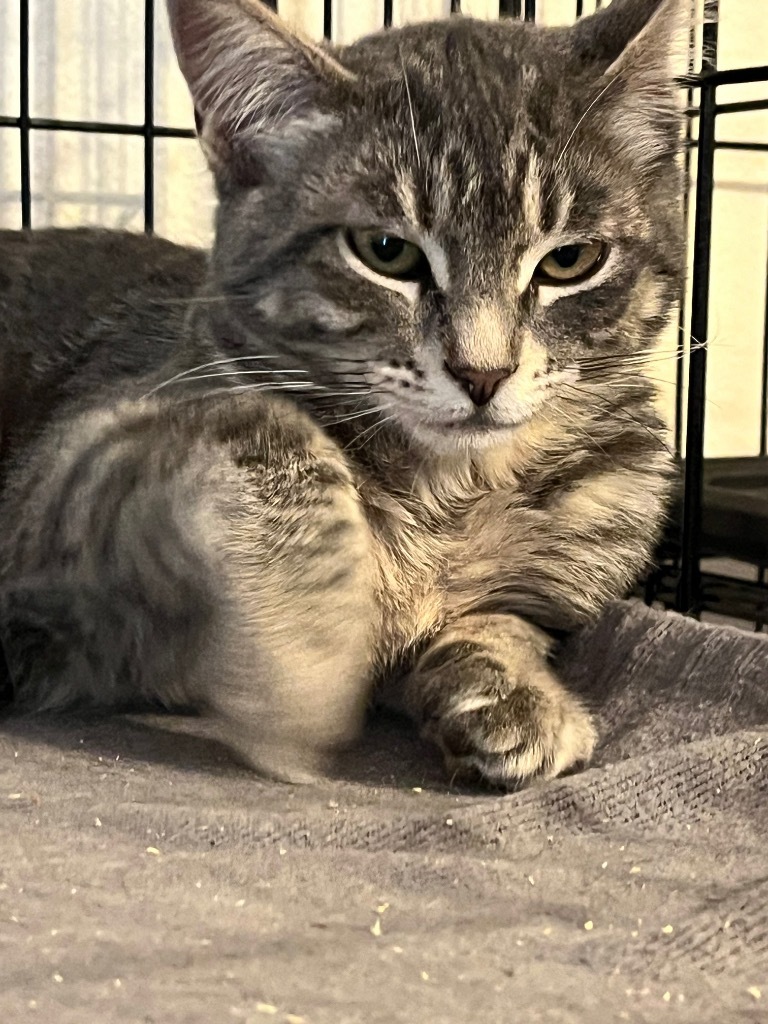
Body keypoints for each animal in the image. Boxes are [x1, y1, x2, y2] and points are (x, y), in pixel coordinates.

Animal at [0, 0, 684, 786]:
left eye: (571, 260)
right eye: (386, 252)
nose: (483, 373)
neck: (448, 491)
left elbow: (507, 619)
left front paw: (511, 685)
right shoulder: (70, 467)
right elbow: (263, 425)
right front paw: (305, 641)